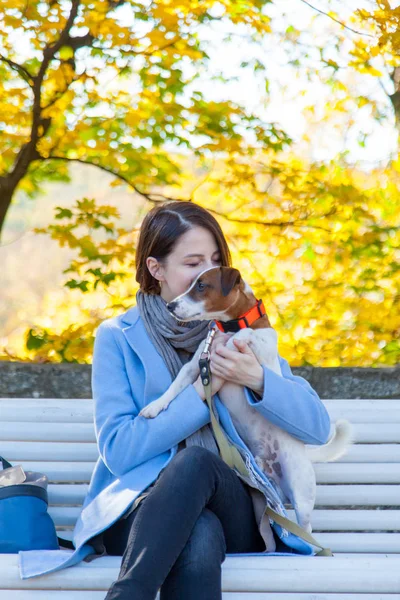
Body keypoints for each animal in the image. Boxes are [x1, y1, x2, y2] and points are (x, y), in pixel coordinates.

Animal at [140, 264, 354, 532]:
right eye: (190, 284)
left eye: (201, 286)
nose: (171, 305)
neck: (230, 325)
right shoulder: (193, 367)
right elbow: (174, 387)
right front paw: (155, 406)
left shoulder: (263, 347)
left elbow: (250, 336)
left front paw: (237, 340)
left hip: (302, 493)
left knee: (305, 525)